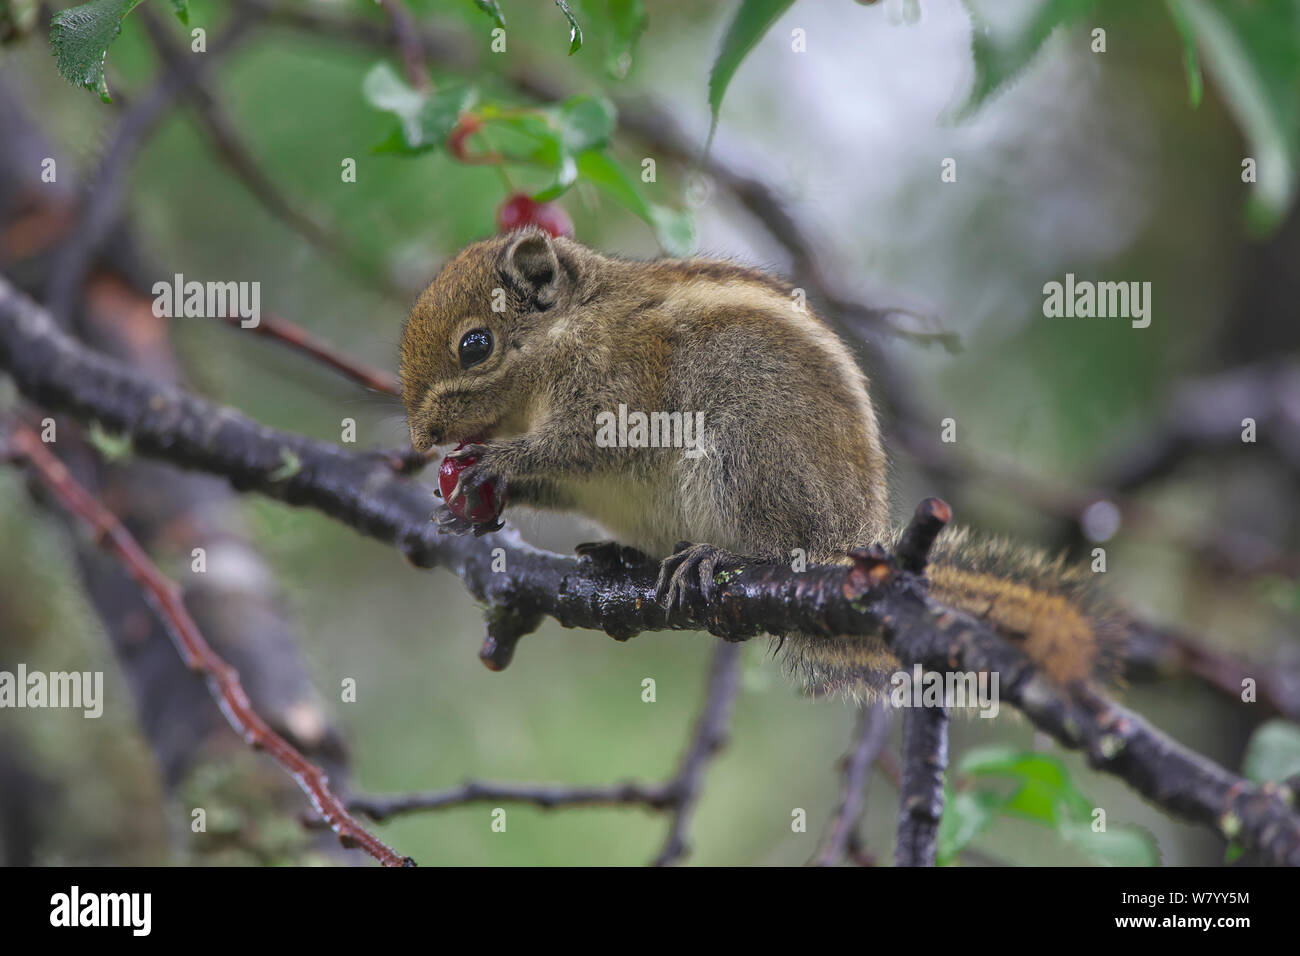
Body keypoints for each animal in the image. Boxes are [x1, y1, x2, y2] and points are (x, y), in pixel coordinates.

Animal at [400, 228, 1112, 697]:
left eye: (475, 345)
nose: (421, 437)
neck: (565, 331)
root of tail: (847, 543)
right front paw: (462, 508)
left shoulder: (618, 384)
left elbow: (585, 445)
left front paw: (496, 463)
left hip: (748, 448)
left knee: (772, 541)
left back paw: (716, 555)